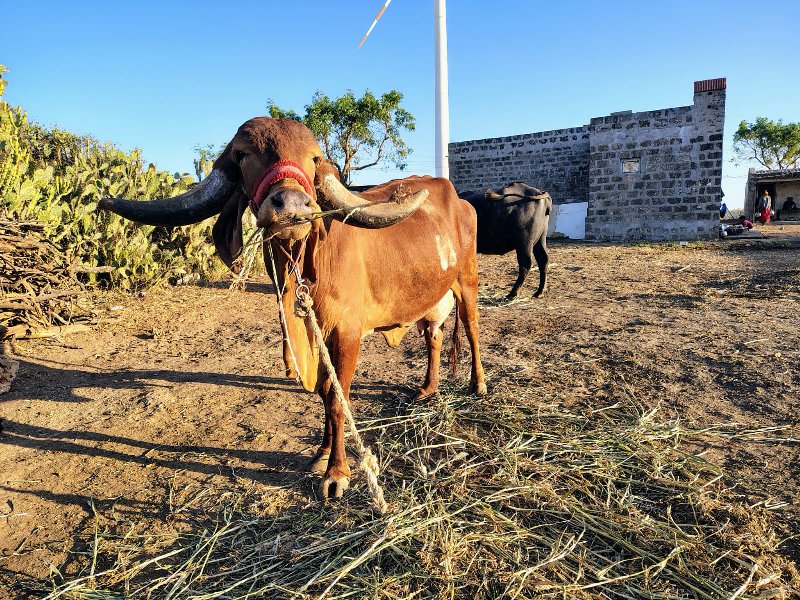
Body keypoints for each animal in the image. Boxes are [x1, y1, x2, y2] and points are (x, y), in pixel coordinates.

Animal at [101, 117, 488, 496]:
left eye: (314, 158)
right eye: (242, 154)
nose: (290, 206)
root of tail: (460, 202)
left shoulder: (347, 335)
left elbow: (338, 400)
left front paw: (337, 472)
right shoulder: (316, 336)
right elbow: (324, 394)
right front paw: (322, 454)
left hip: (467, 281)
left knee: (471, 329)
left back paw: (478, 384)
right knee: (434, 337)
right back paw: (427, 388)